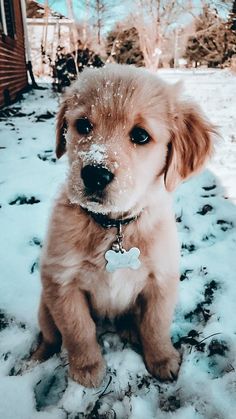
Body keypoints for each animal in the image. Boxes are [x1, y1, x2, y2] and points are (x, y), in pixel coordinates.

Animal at [31, 64, 216, 388]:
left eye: (140, 135)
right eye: (83, 125)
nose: (95, 174)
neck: (113, 227)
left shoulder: (161, 280)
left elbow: (155, 324)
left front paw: (162, 359)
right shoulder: (61, 281)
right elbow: (78, 329)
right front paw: (87, 368)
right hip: (44, 305)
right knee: (51, 336)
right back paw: (37, 357)